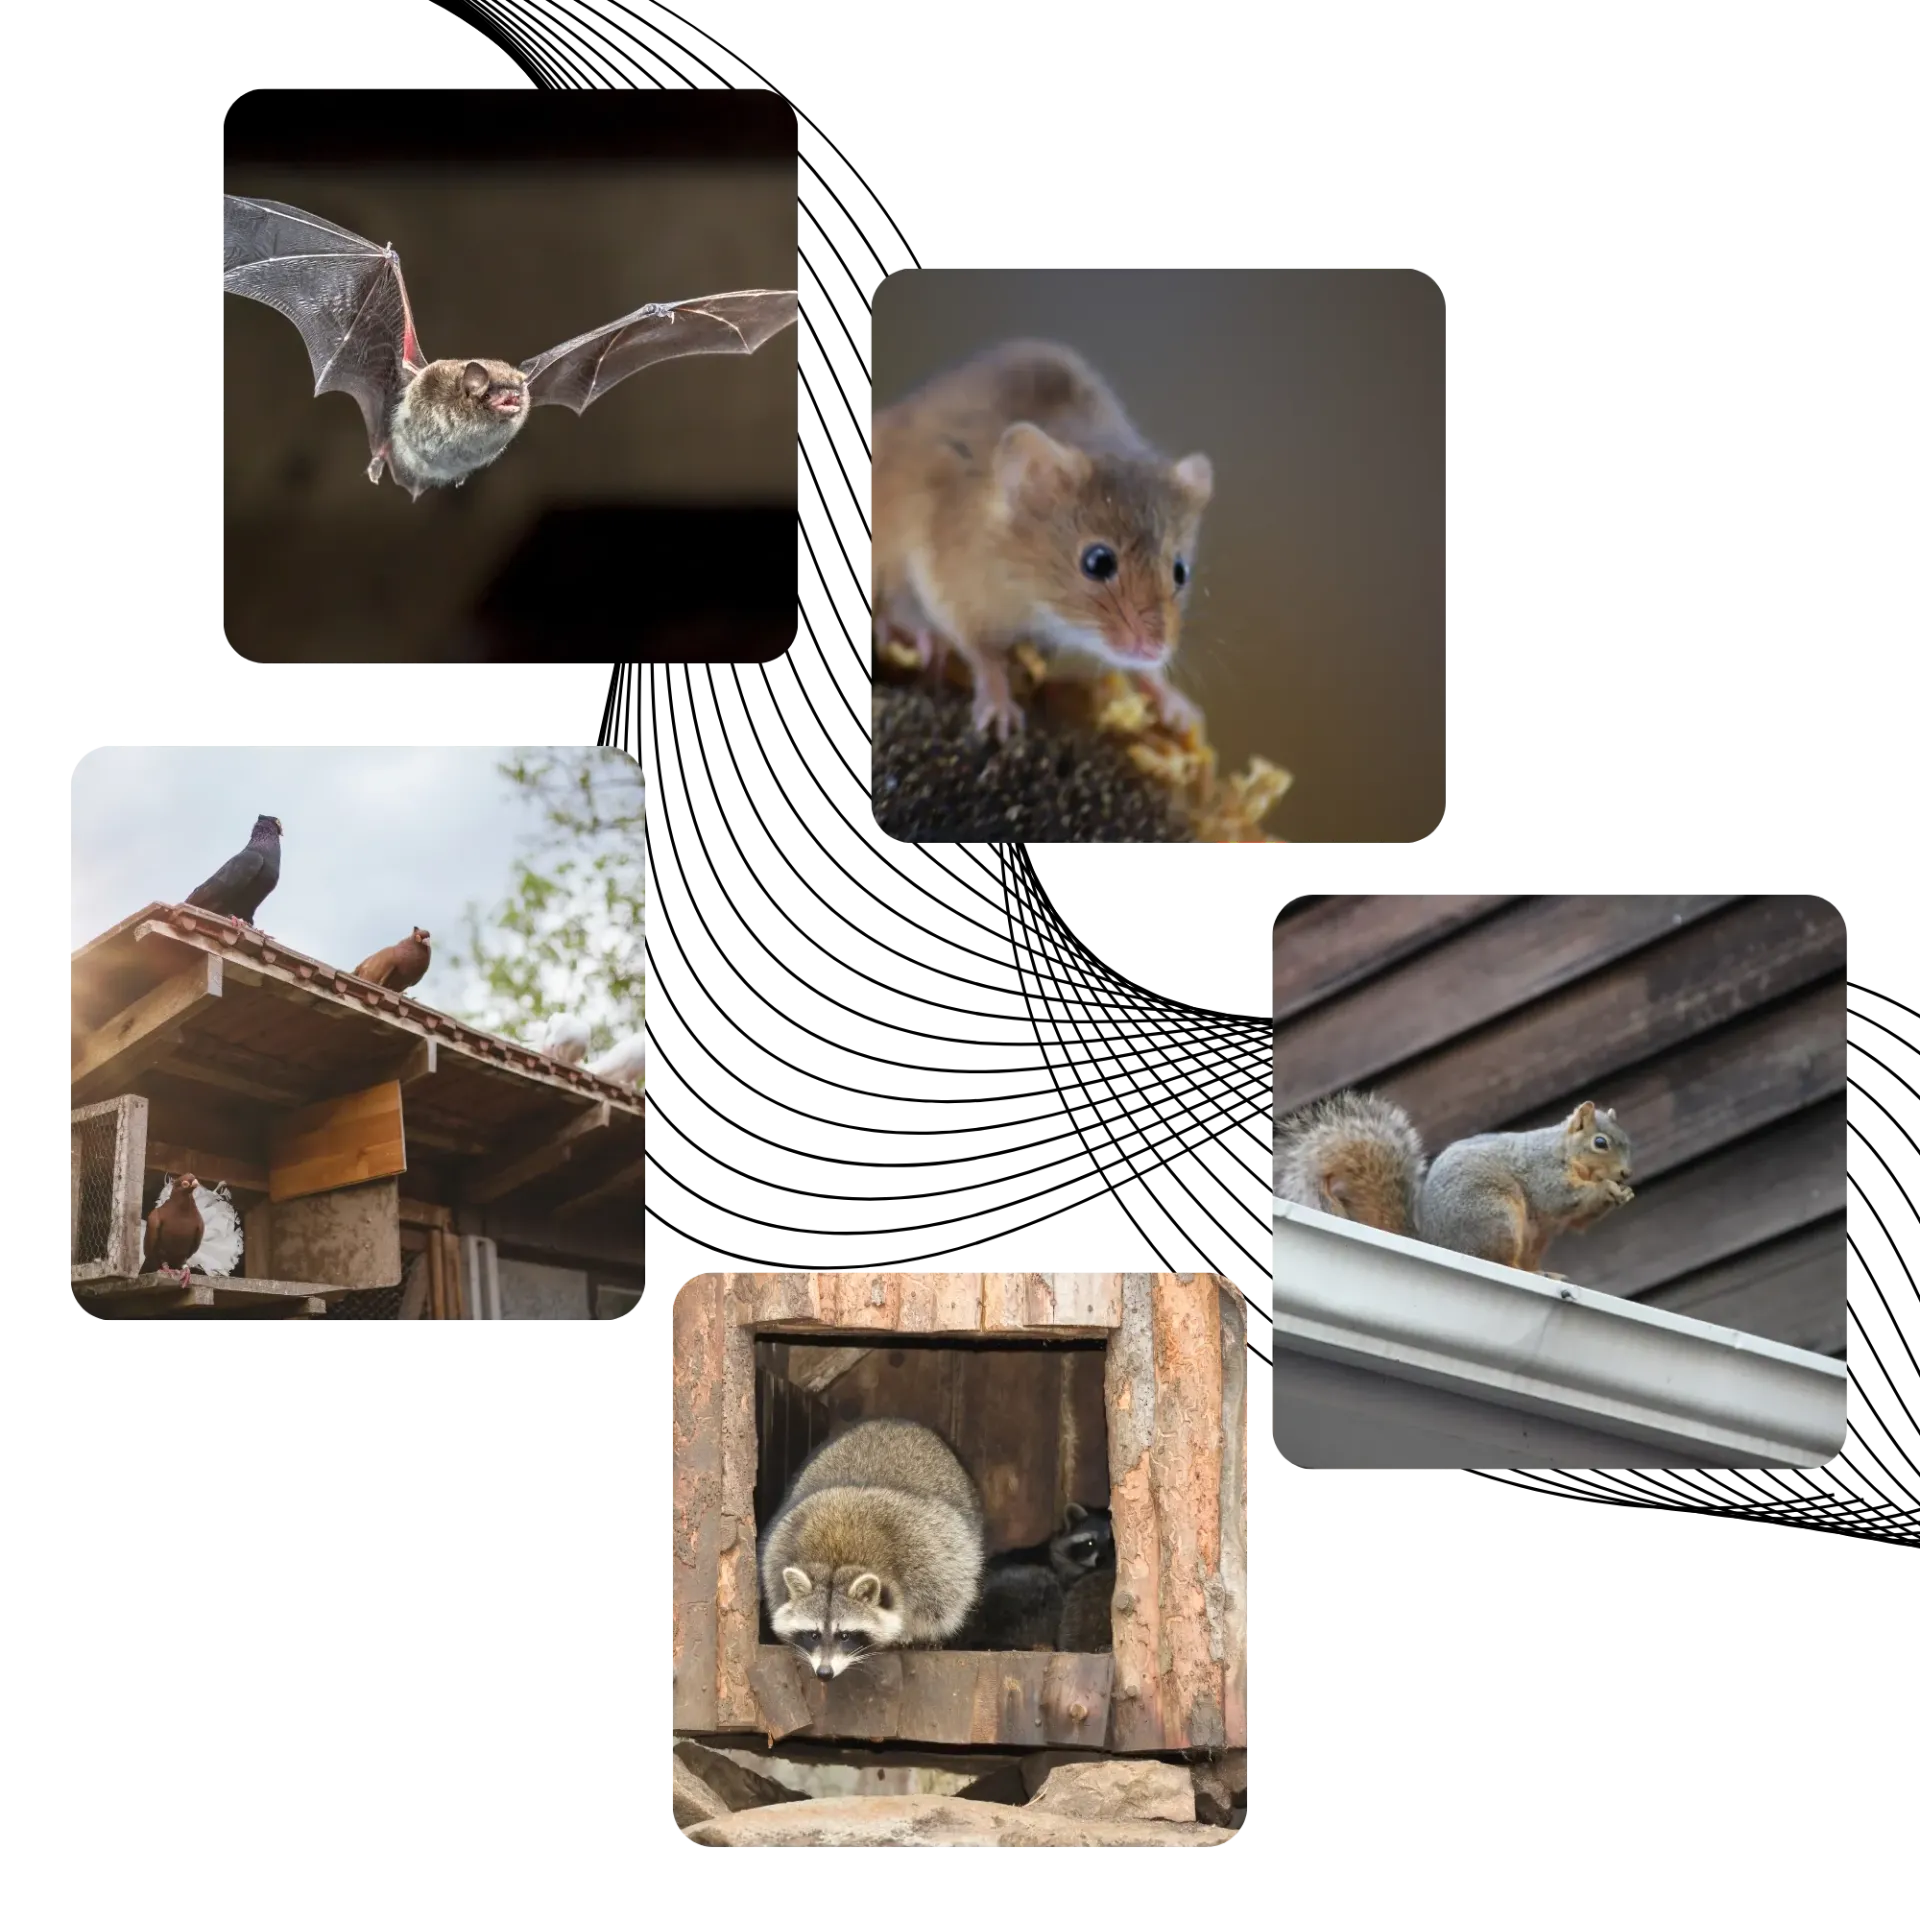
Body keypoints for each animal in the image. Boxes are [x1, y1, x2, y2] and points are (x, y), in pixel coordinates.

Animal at [760, 1417, 985, 1680]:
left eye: (844, 1635)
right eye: (813, 1634)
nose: (824, 1672)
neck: (837, 1560)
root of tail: (895, 1422)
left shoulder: (929, 1558)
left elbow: (945, 1602)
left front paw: (914, 1633)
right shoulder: (779, 1549)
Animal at [1273, 1090, 1635, 1278]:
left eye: (1627, 1141)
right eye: (1600, 1143)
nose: (1625, 1174)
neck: (1564, 1151)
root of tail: (1439, 1244)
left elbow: (1578, 1220)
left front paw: (1623, 1193)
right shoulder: (1543, 1172)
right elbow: (1562, 1198)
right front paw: (1607, 1189)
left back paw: (1542, 1273)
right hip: (1497, 1218)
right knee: (1498, 1260)